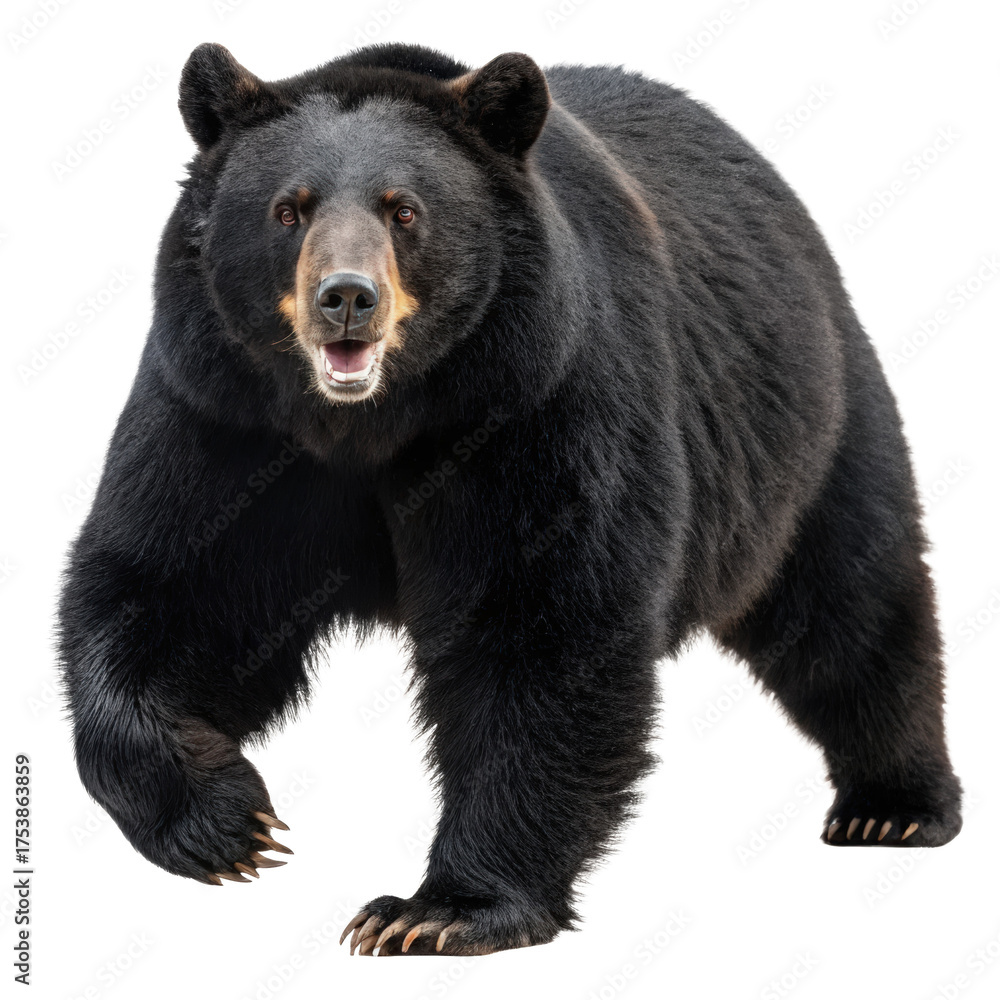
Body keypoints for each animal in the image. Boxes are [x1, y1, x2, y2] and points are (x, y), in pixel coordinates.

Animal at [59, 42, 962, 956]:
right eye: (288, 210)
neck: (369, 423)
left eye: (405, 211)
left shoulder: (537, 401)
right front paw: (226, 825)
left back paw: (894, 806)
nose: (346, 298)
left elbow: (542, 623)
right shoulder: (225, 415)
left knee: (849, 602)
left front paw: (438, 909)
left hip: (806, 422)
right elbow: (174, 592)